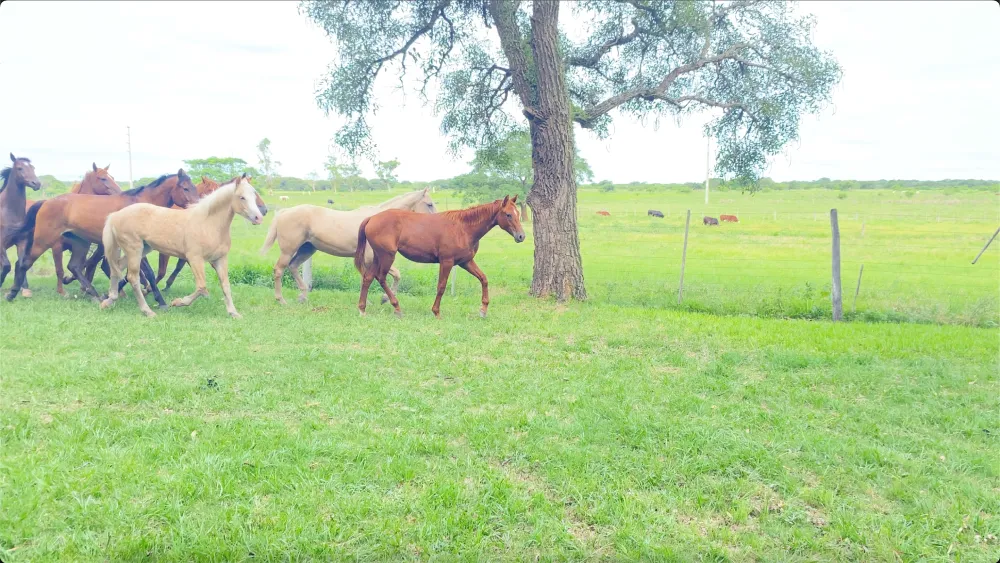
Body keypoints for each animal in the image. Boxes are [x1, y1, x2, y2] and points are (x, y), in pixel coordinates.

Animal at [0, 153, 41, 294]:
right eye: (19, 168)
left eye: (33, 168)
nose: (36, 183)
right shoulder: (1, 244)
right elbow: (7, 266)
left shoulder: (21, 242)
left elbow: (21, 264)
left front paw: (18, 289)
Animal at [5, 170, 200, 304]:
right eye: (185, 188)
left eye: (194, 187)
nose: (197, 206)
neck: (140, 206)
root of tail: (46, 202)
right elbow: (149, 273)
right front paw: (161, 302)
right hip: (44, 240)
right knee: (24, 263)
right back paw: (12, 293)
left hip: (80, 243)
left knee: (74, 266)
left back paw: (94, 294)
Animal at [101, 174, 266, 318]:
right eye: (242, 197)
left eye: (254, 195)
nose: (259, 217)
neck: (208, 224)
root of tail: (115, 215)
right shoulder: (195, 258)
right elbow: (201, 287)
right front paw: (177, 302)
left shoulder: (220, 259)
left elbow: (225, 286)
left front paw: (234, 313)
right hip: (134, 249)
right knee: (132, 277)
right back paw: (147, 311)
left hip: (143, 248)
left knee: (117, 267)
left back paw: (109, 300)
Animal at [260, 188, 437, 304]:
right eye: (429, 204)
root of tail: (284, 212)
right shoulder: (371, 258)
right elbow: (392, 275)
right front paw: (383, 299)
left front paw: (377, 300)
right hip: (288, 250)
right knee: (279, 270)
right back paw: (281, 300)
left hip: (307, 249)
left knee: (293, 266)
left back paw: (302, 296)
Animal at [354, 195, 524, 318]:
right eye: (508, 214)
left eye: (518, 214)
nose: (521, 236)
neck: (463, 228)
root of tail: (371, 218)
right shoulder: (447, 262)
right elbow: (441, 286)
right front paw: (436, 312)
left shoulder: (466, 262)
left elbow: (484, 279)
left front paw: (483, 310)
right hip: (387, 256)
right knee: (381, 277)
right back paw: (396, 307)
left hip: (379, 257)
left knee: (368, 277)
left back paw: (362, 309)